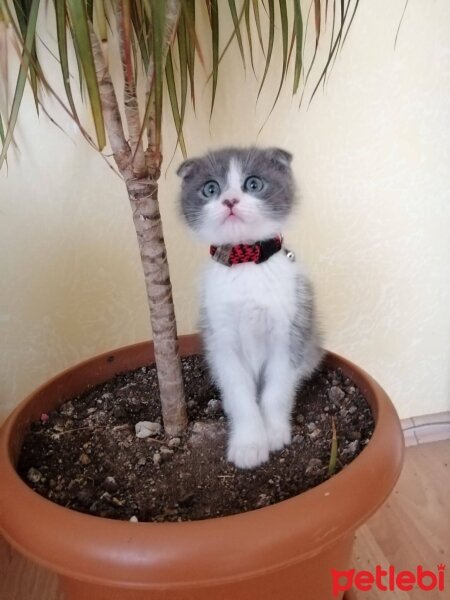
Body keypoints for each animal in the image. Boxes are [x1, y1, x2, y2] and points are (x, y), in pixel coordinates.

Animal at [178, 148, 322, 472]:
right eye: (211, 189)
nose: (230, 200)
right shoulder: (221, 338)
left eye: (253, 184)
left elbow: (277, 388)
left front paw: (275, 432)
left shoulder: (289, 330)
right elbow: (239, 394)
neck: (245, 264)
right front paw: (249, 444)